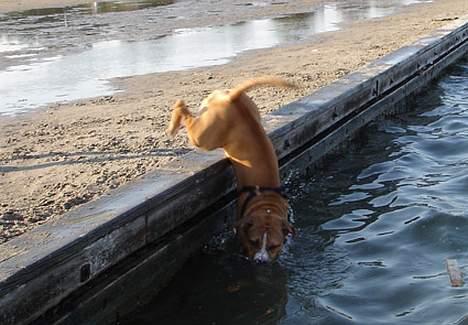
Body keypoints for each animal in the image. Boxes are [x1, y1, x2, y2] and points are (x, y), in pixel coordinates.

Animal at [166, 76, 294, 260]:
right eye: (254, 241)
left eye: (274, 246)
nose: (261, 261)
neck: (266, 202)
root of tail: (230, 98)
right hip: (203, 137)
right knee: (184, 112)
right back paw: (173, 122)